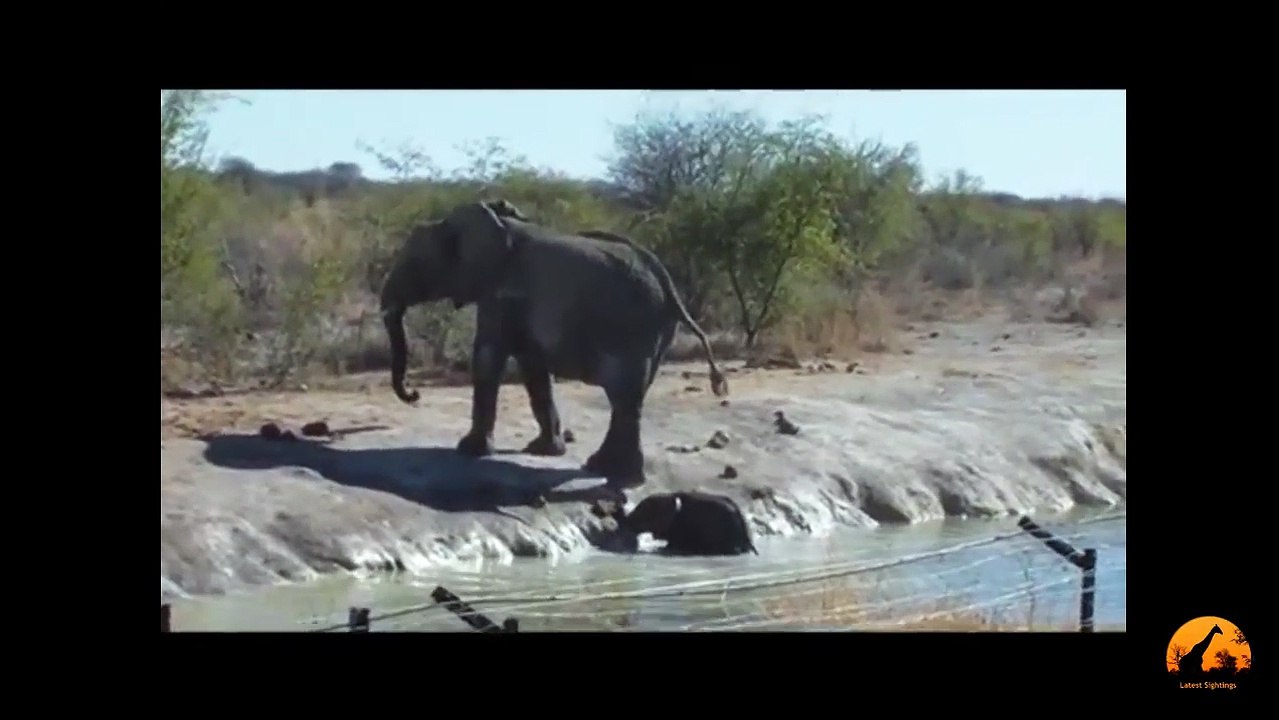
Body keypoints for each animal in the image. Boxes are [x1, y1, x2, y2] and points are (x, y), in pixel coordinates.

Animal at [379, 199, 729, 488]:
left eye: (413, 265)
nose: (414, 394)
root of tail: (669, 287)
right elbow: (533, 370)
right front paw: (544, 450)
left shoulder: (501, 293)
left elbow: (489, 358)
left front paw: (469, 450)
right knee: (628, 400)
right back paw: (602, 469)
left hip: (630, 328)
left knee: (624, 397)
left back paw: (618, 476)